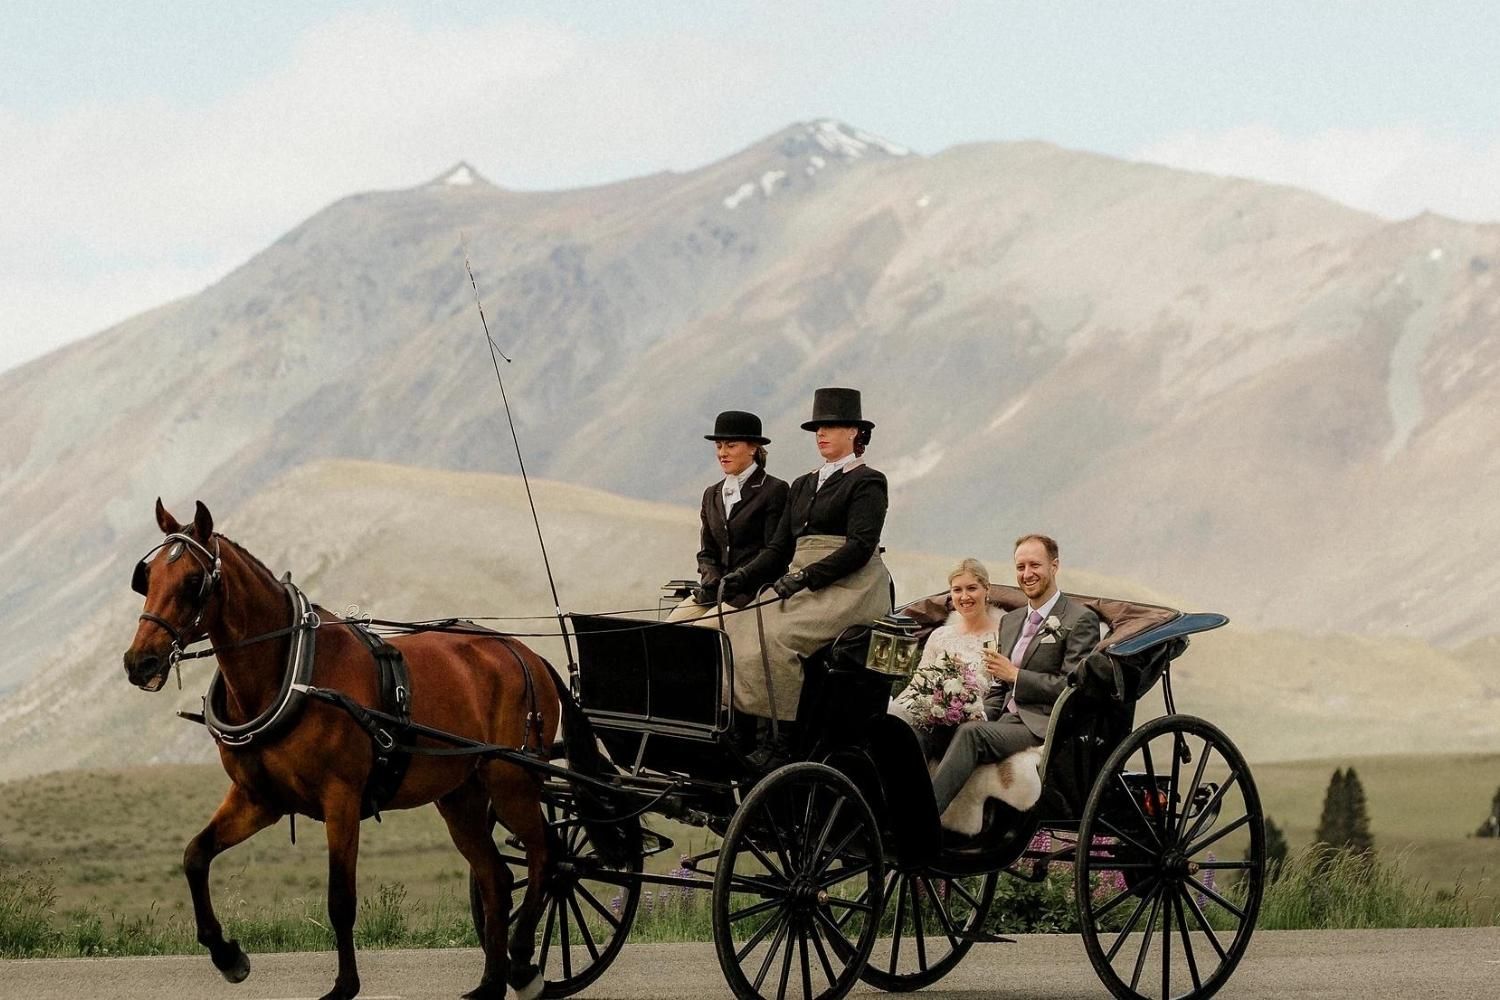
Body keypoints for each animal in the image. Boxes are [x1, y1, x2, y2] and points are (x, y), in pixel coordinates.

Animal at [121, 499, 630, 1000]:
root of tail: (526, 654)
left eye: (193, 581)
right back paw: (490, 983)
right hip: (461, 796)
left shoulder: (341, 799)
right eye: (147, 578)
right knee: (497, 880)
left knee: (546, 858)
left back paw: (523, 965)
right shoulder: (259, 799)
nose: (138, 661)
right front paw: (228, 956)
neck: (294, 668)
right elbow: (195, 856)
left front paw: (344, 986)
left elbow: (340, 898)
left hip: (512, 780)